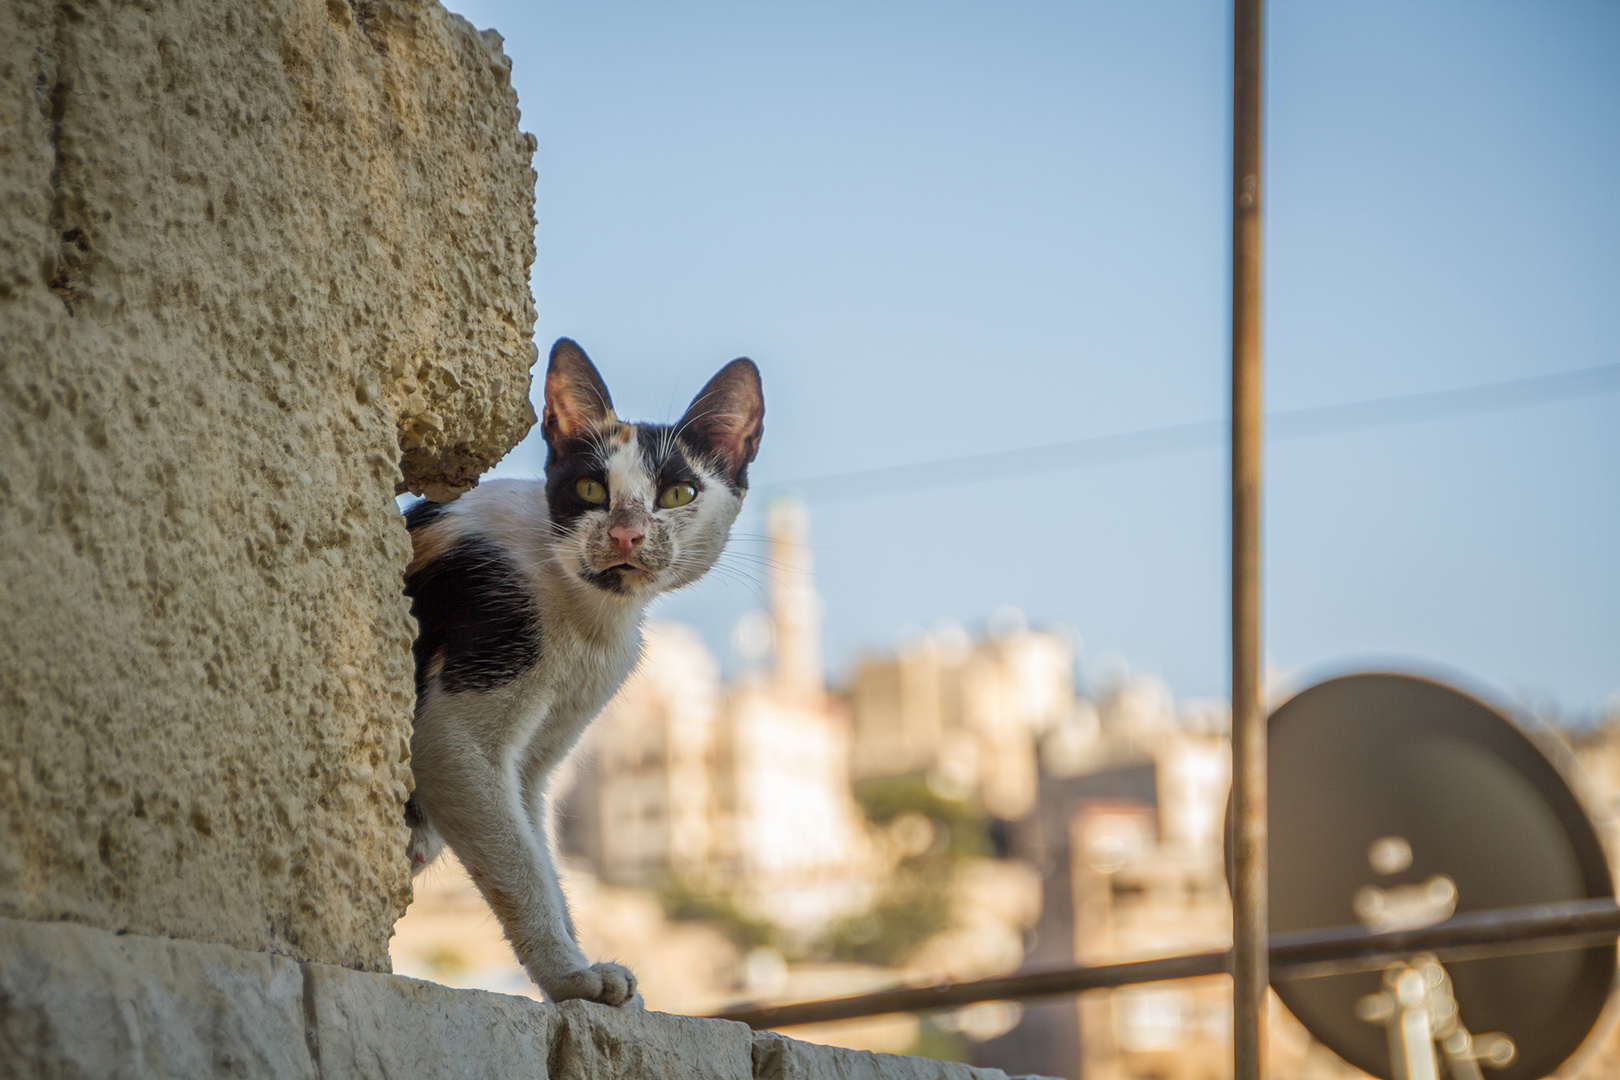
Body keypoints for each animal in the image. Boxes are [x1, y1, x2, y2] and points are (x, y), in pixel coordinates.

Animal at [401, 338, 761, 1003]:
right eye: (591, 489)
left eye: (679, 494)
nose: (626, 534)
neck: (586, 617)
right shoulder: (455, 737)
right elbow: (519, 865)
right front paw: (570, 976)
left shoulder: (536, 763)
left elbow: (541, 853)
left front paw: (584, 968)